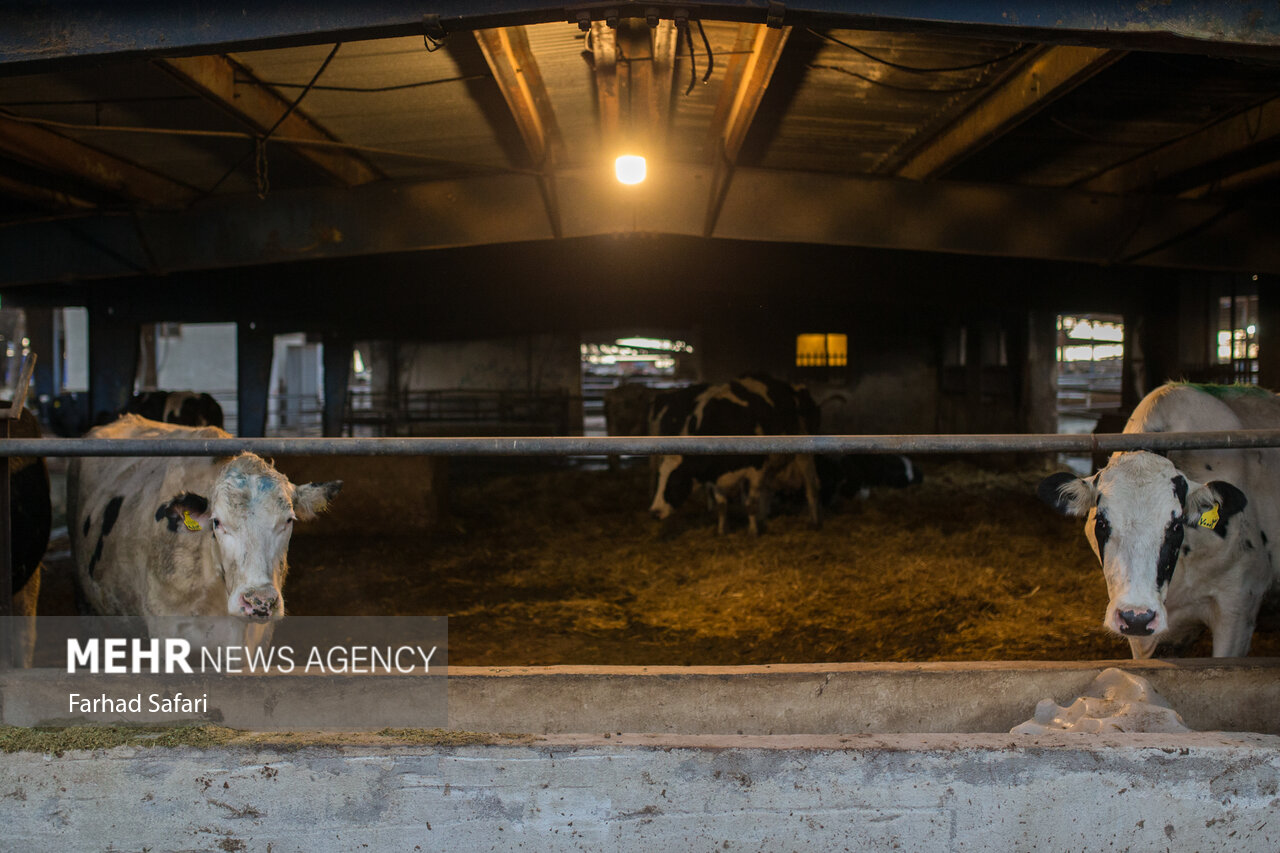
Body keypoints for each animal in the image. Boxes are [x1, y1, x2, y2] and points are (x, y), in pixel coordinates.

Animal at [650, 373, 819, 532]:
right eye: (658, 479)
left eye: (677, 481)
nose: (655, 512)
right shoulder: (715, 474)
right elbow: (722, 505)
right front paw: (722, 530)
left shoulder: (757, 468)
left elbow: (751, 504)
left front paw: (753, 532)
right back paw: (764, 517)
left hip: (804, 453)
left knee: (810, 487)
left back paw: (815, 520)